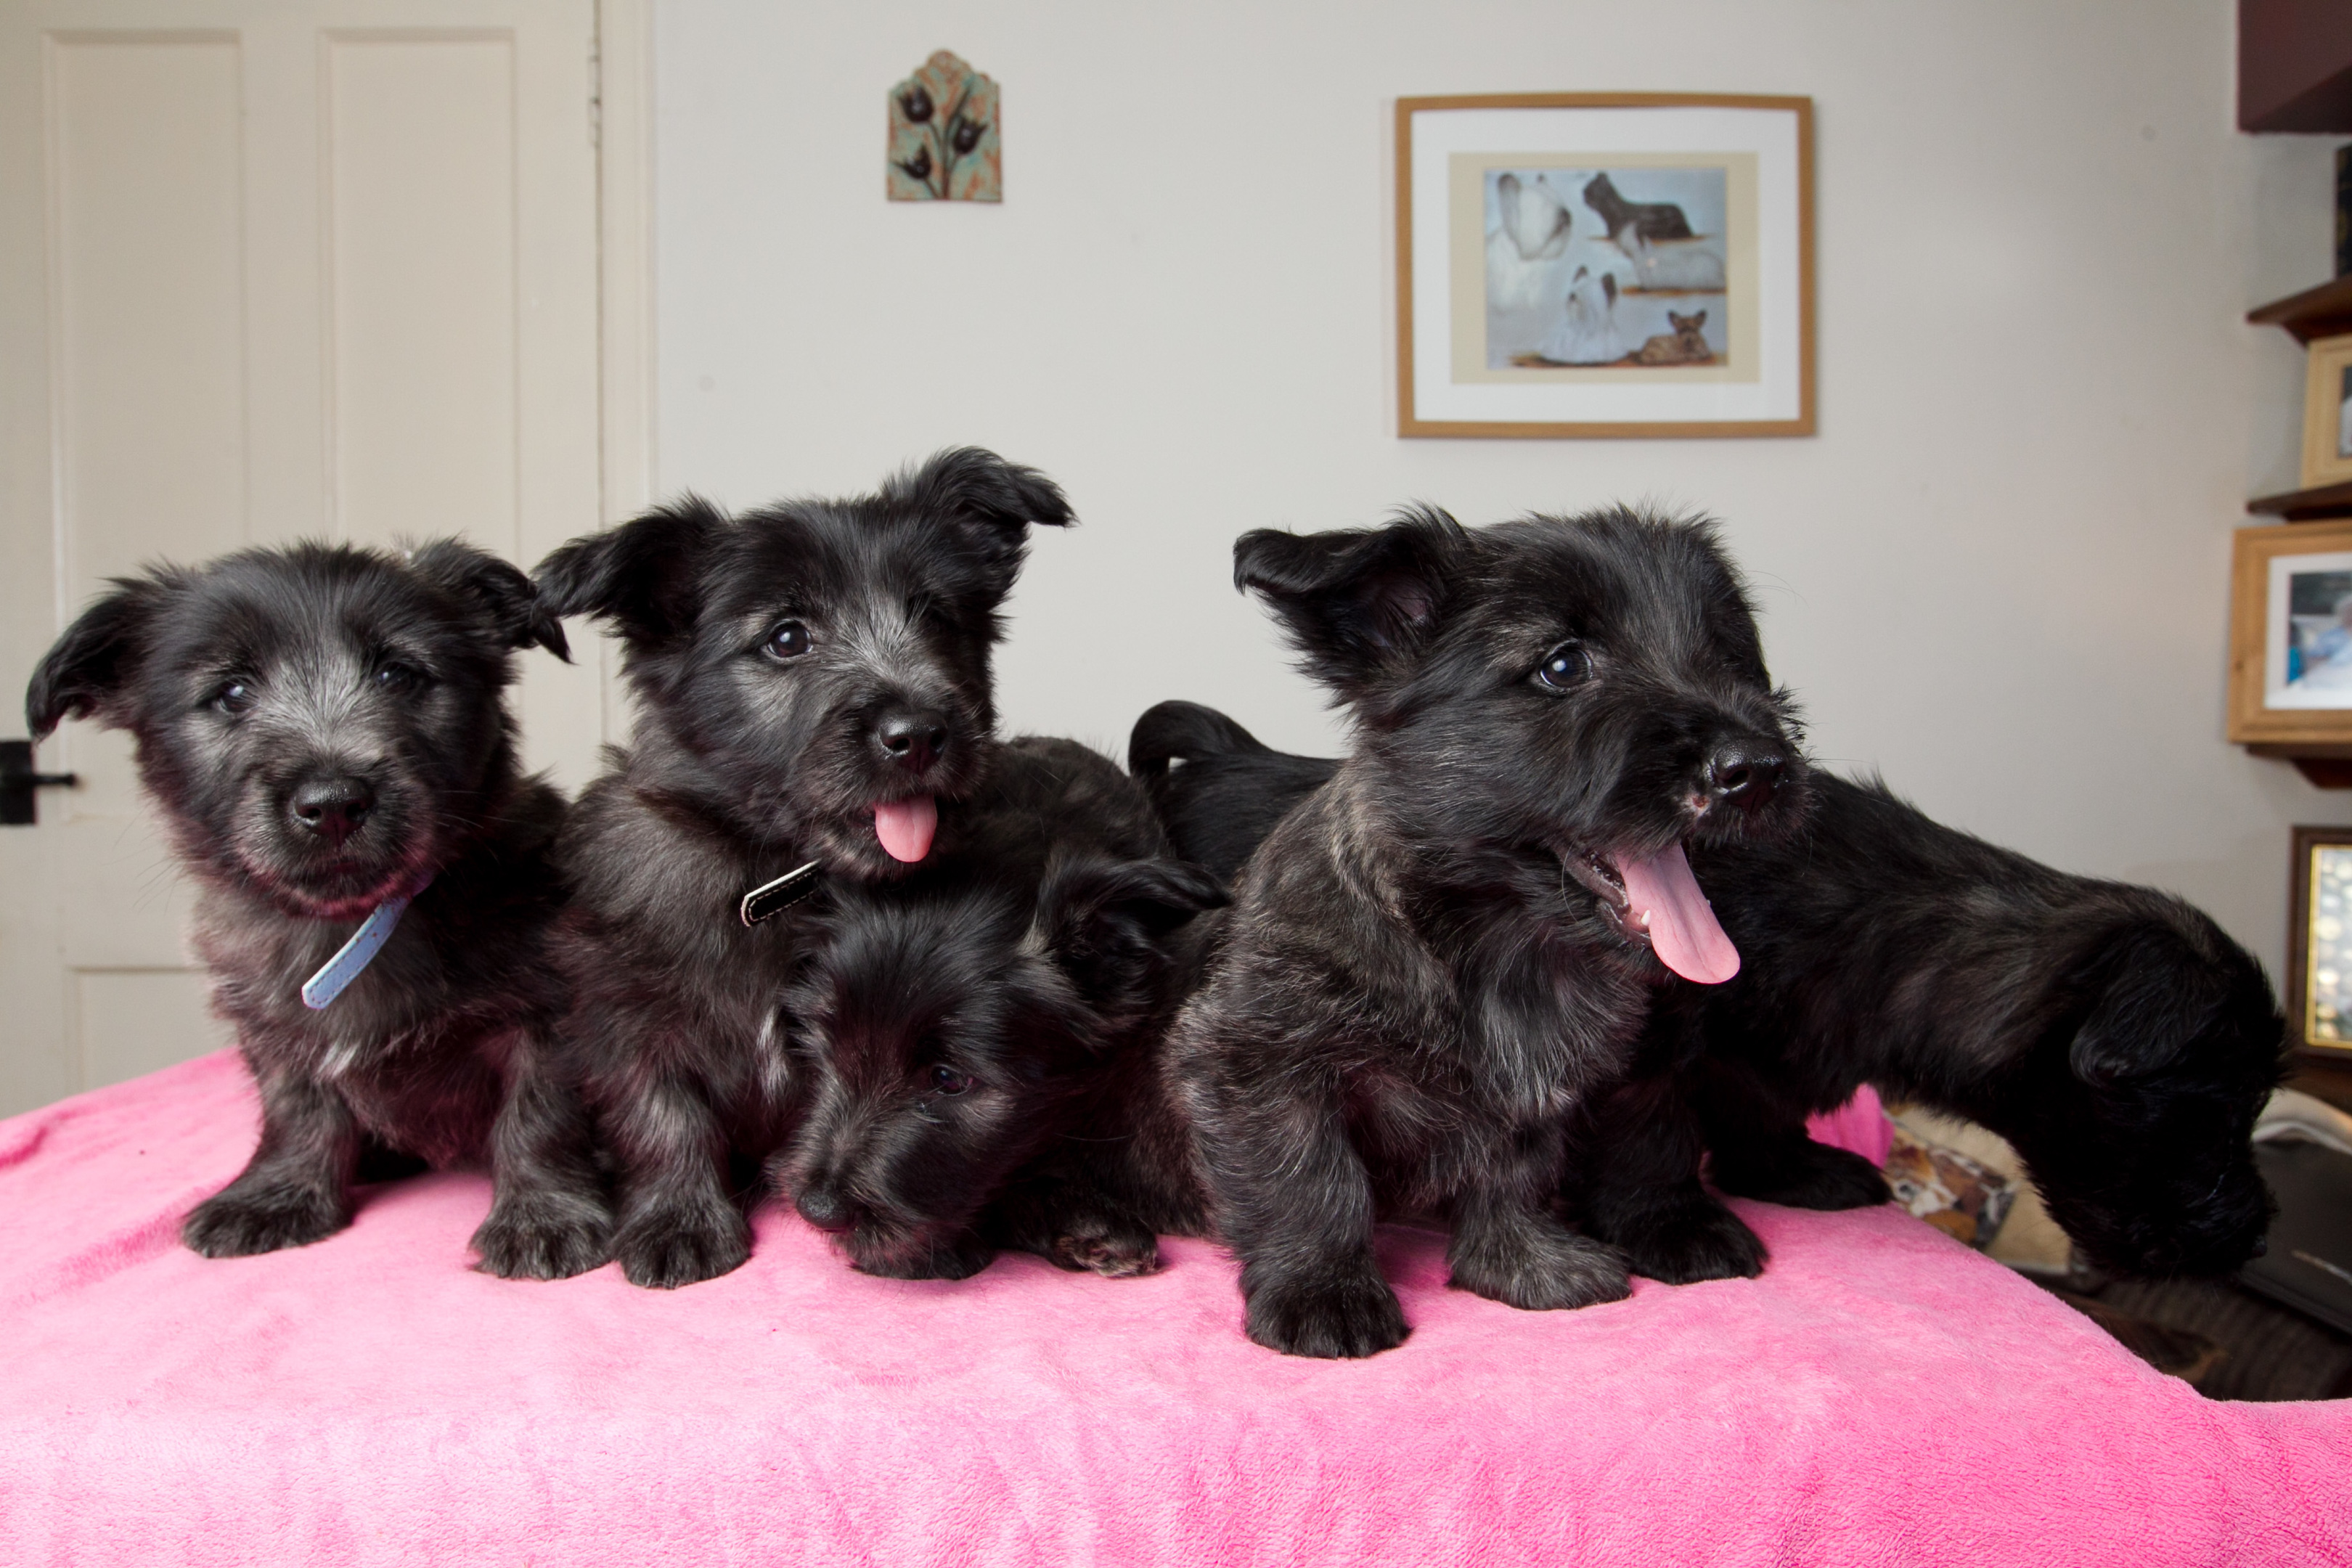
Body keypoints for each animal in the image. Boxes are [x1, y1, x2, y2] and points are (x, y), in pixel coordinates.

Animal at [24, 540, 579, 1259]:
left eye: (399, 675)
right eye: (231, 693)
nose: (334, 805)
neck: (352, 926)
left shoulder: (546, 1015)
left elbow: (540, 1115)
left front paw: (544, 1216)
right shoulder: (275, 1033)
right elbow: (296, 1111)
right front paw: (277, 1195)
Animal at [1133, 709, 2277, 1288]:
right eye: (2215, 1110)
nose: (2258, 1237)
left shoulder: (1756, 1051)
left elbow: (1759, 1107)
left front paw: (1793, 1171)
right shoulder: (1649, 1042)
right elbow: (1653, 1137)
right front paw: (1676, 1228)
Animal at [1167, 505, 1806, 1363]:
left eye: (1728, 653)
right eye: (1563, 666)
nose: (1758, 769)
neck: (1498, 945)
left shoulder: (1541, 1084)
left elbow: (1517, 1171)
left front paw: (1522, 1263)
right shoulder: (1256, 1061)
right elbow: (1307, 1174)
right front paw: (1322, 1290)